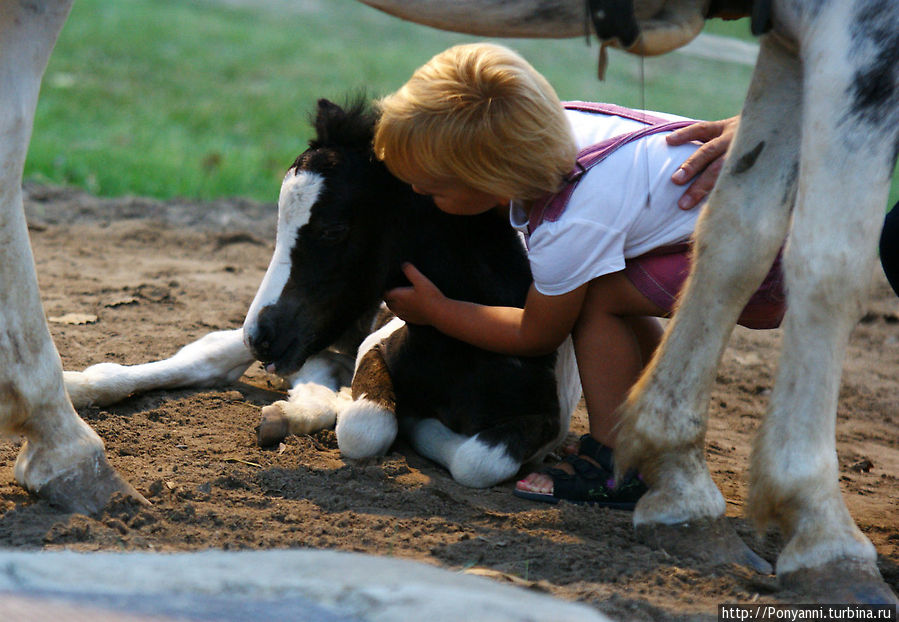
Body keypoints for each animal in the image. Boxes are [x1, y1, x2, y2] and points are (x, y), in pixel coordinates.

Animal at [67, 100, 580, 490]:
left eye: (333, 230)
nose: (262, 335)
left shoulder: (547, 419)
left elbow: (480, 461)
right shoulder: (375, 347)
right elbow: (367, 427)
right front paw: (409, 422)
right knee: (214, 356)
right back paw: (80, 386)